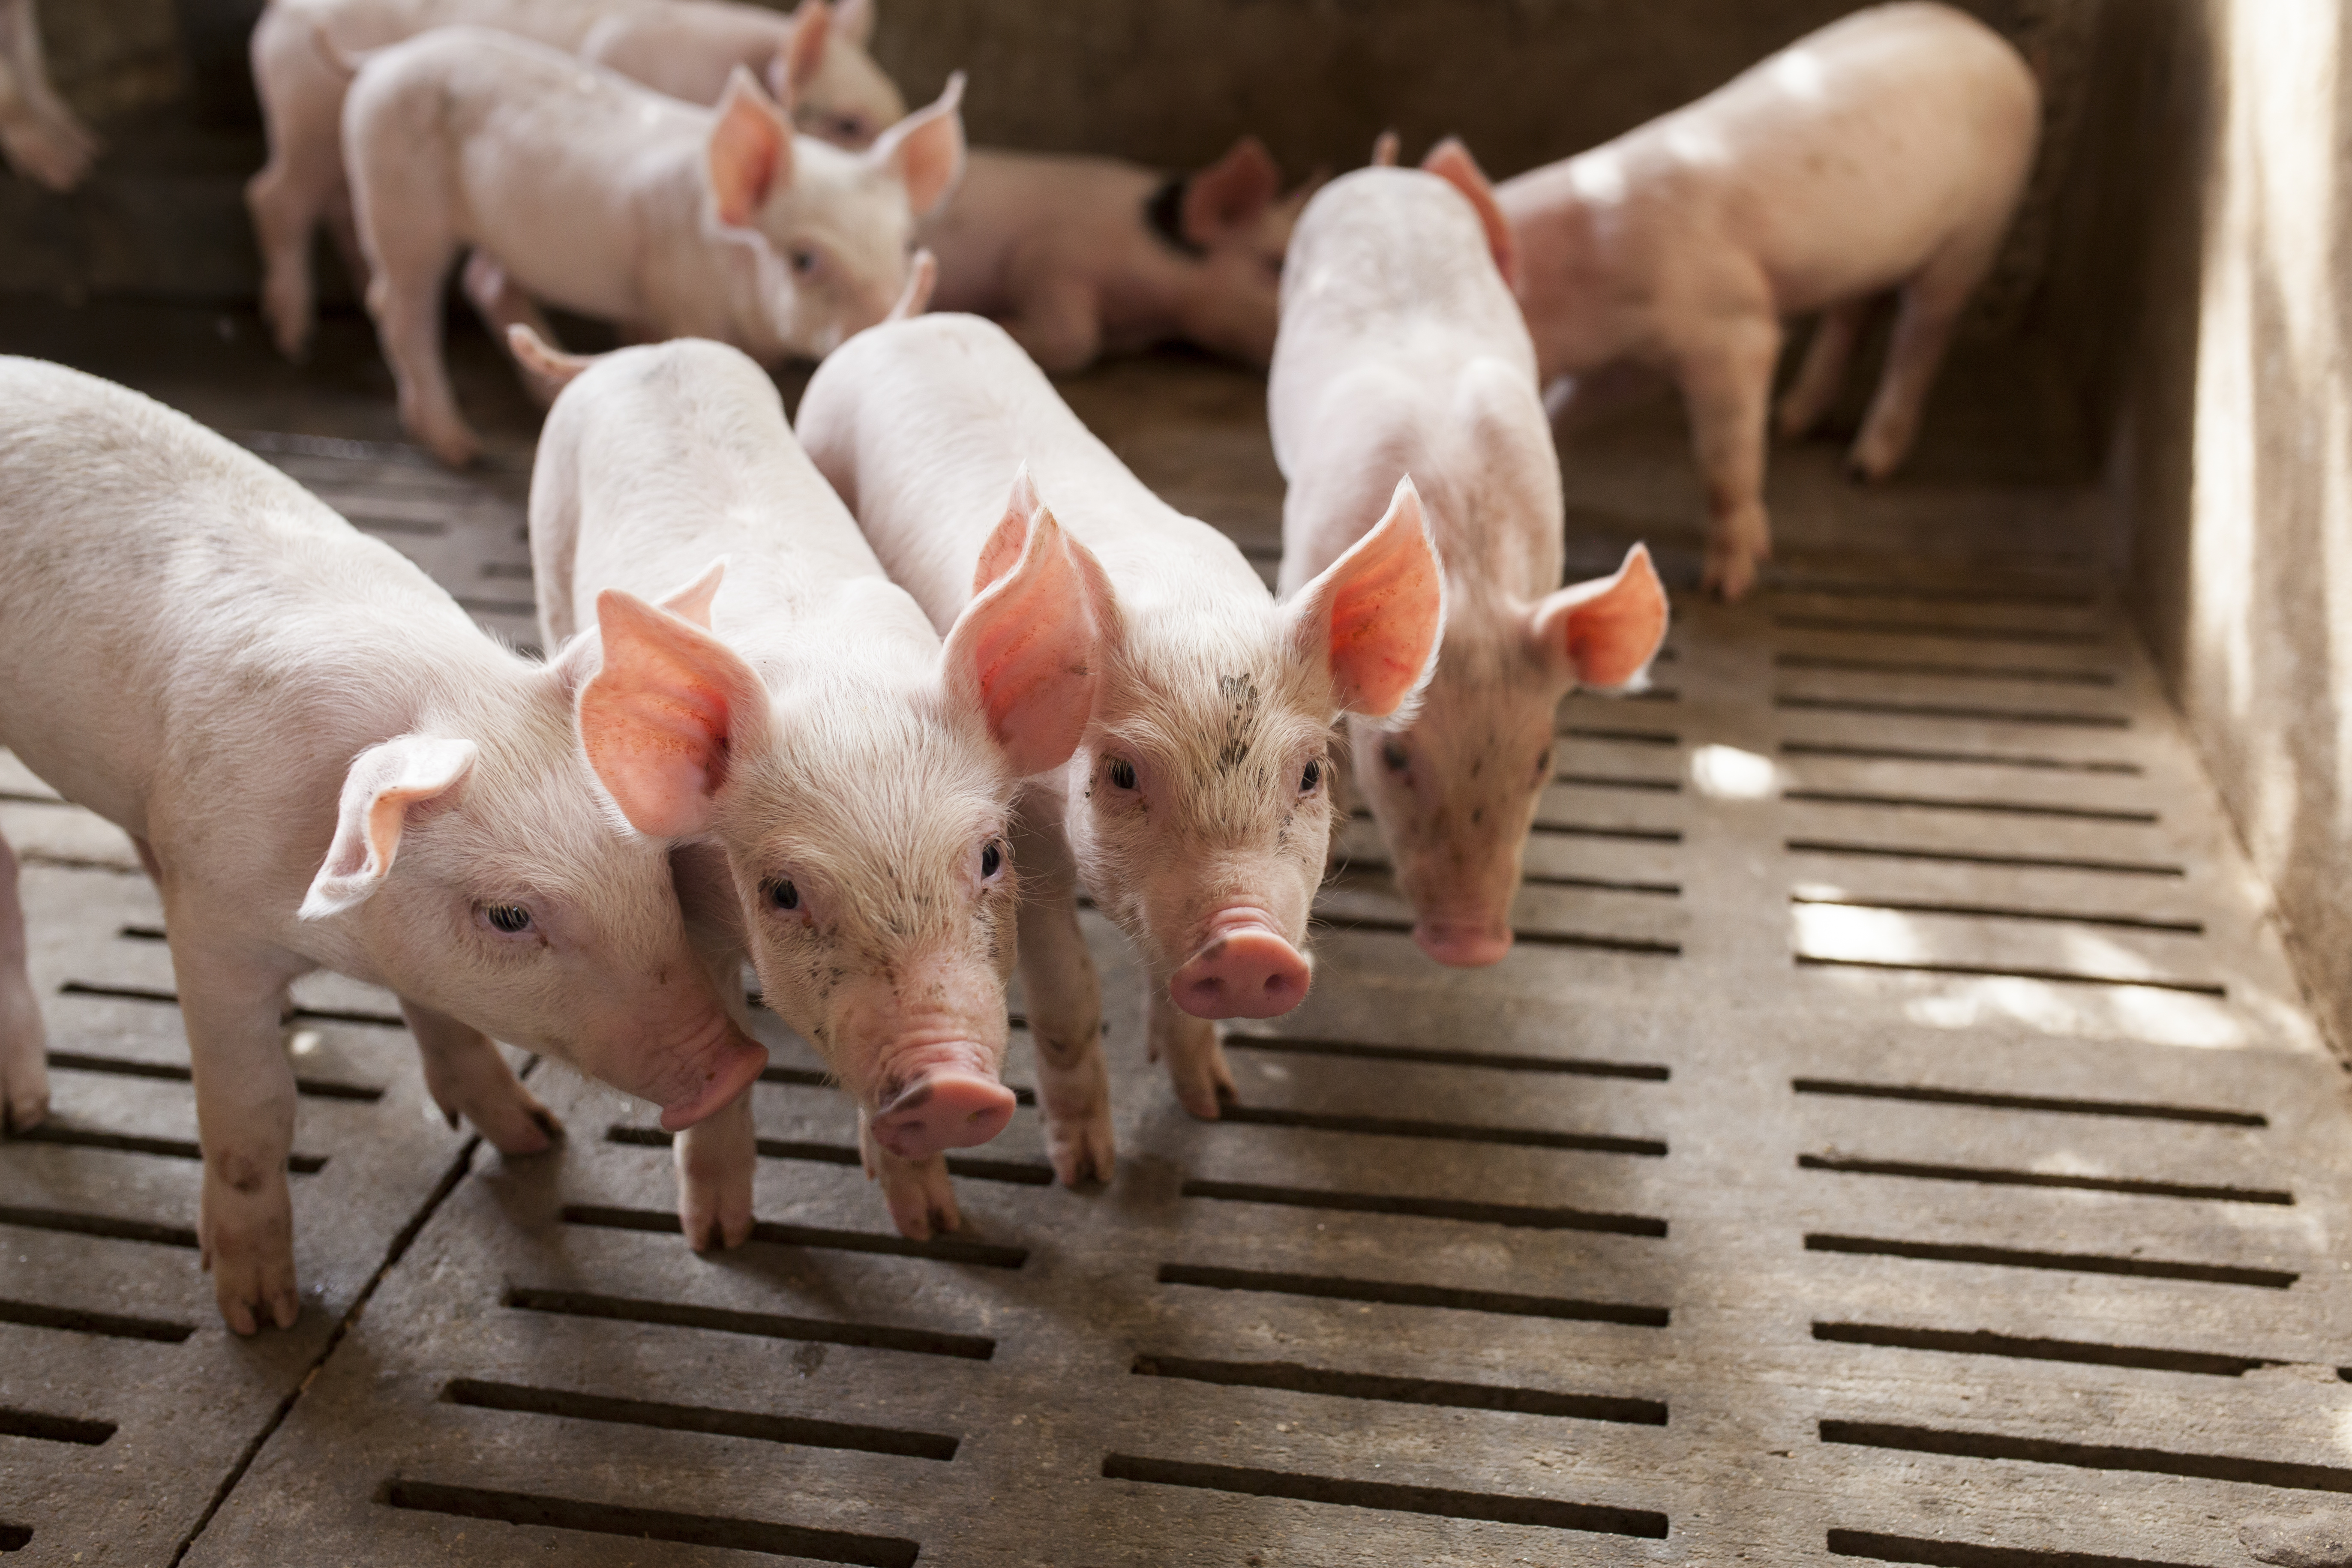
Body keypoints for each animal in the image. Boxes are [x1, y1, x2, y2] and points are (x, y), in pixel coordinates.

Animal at [0, 358, 767, 1333]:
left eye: (652, 866)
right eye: (508, 914)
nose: (736, 1061)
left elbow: (444, 1015)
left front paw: (534, 1141)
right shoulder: (211, 927)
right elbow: (253, 1108)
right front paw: (261, 1314)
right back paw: (25, 1111)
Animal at [340, 26, 963, 466]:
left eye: (907, 243)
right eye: (805, 260)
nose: (892, 319)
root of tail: (383, 59)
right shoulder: (677, 291)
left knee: (484, 284)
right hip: (398, 206)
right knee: (398, 307)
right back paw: (460, 448)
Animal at [518, 318, 1107, 1242]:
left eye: (989, 856)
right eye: (783, 892)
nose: (951, 1084)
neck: (840, 691)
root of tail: (638, 352)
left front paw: (932, 1226)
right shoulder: (687, 904)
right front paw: (716, 1238)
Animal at [799, 312, 1444, 1173]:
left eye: (1310, 772)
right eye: (1122, 772)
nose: (1250, 945)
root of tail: (905, 322)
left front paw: (1213, 1103)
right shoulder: (1023, 835)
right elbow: (1069, 989)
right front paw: (1087, 1171)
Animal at [1494, 1, 2039, 598]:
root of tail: (1990, 42)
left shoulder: (1727, 329)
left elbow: (1724, 463)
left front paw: (1726, 586)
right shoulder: (1631, 358)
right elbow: (1564, 406)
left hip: (1975, 234)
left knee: (1920, 337)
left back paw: (1862, 468)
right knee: (1852, 314)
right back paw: (1791, 422)